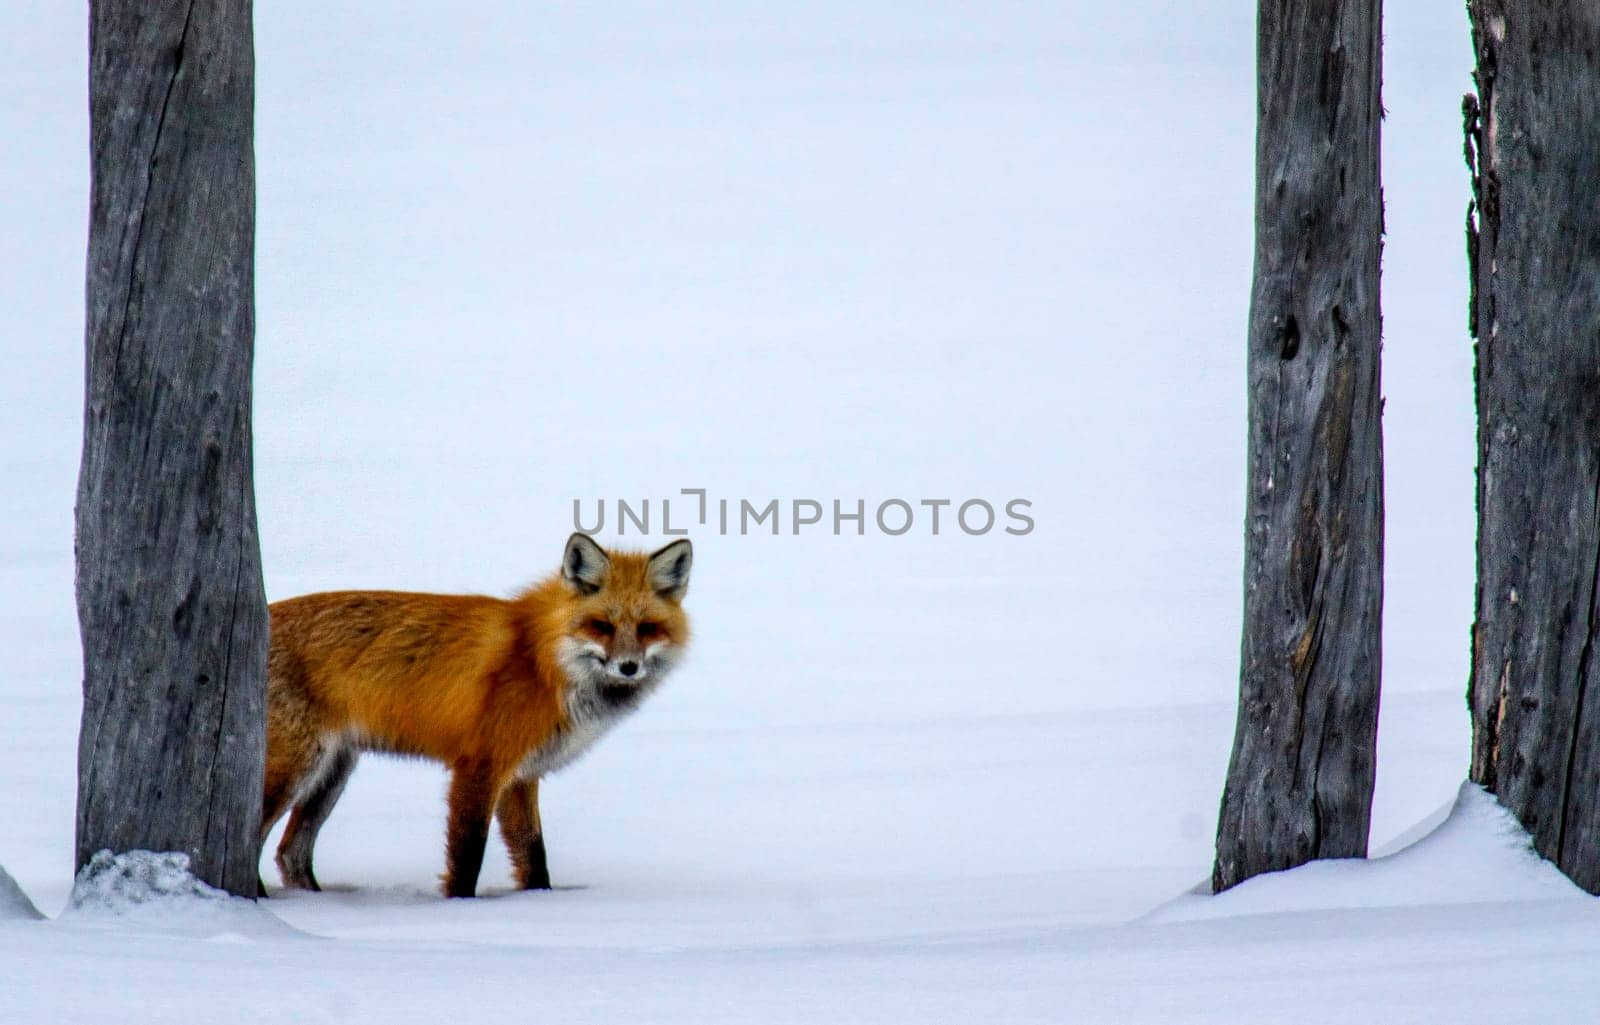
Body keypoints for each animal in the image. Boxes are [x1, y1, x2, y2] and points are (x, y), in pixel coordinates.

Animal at [257, 537, 694, 895]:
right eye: (601, 625)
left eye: (647, 628)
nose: (628, 668)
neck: (542, 661)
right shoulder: (480, 766)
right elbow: (467, 857)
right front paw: (463, 911)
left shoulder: (521, 775)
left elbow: (533, 857)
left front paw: (539, 903)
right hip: (295, 769)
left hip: (332, 773)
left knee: (290, 854)